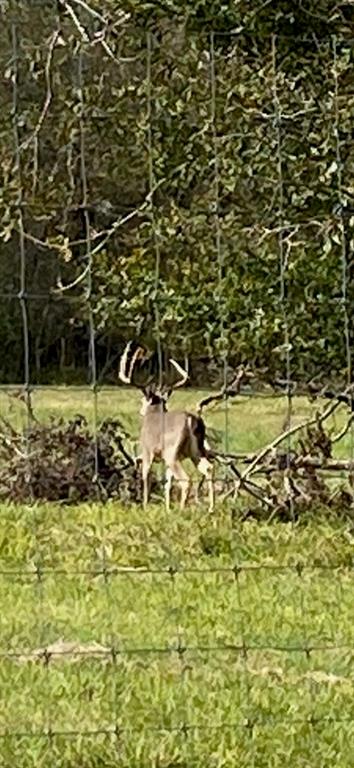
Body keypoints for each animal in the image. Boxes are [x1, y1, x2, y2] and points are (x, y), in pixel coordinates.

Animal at [119, 342, 214, 510]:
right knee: (208, 468)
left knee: (186, 480)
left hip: (171, 452)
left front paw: (145, 506)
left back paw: (182, 510)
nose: (140, 410)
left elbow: (146, 476)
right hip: (195, 451)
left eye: (142, 400)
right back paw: (210, 508)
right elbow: (167, 483)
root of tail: (191, 419)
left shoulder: (148, 450)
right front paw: (167, 508)